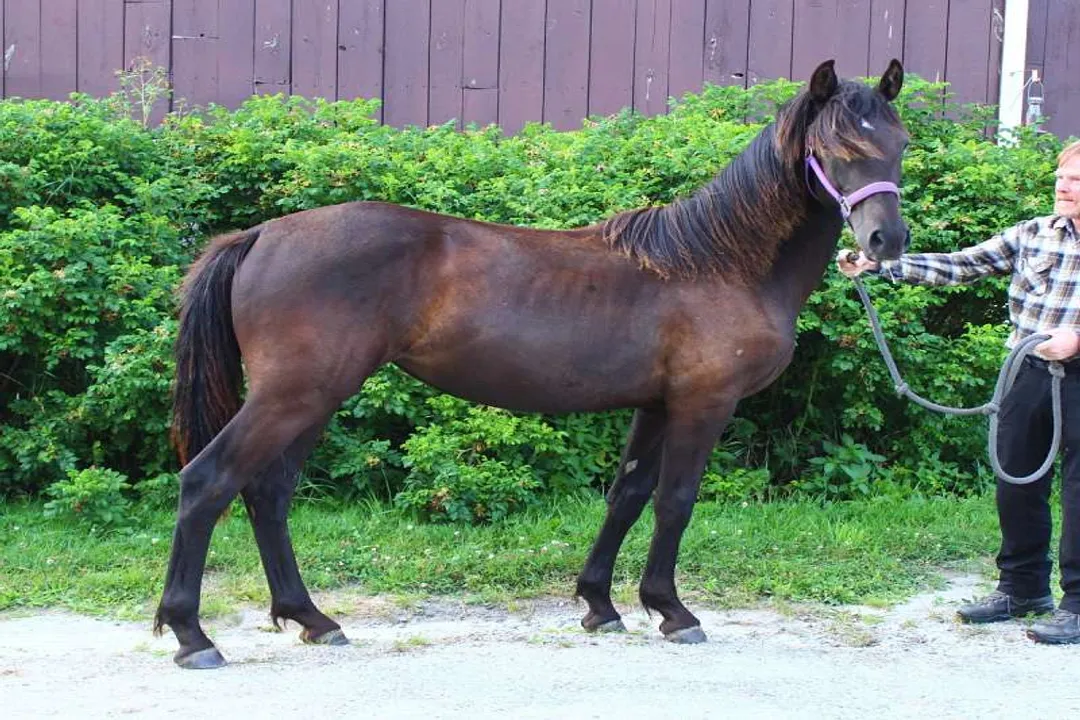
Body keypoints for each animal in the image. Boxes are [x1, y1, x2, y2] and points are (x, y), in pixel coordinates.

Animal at [154, 59, 911, 668]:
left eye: (899, 144)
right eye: (835, 147)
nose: (887, 240)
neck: (719, 264)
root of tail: (259, 235)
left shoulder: (656, 404)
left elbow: (627, 496)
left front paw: (601, 606)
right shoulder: (703, 402)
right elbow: (675, 501)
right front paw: (673, 611)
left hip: (312, 398)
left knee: (267, 493)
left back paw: (311, 619)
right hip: (295, 396)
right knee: (209, 481)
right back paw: (193, 636)